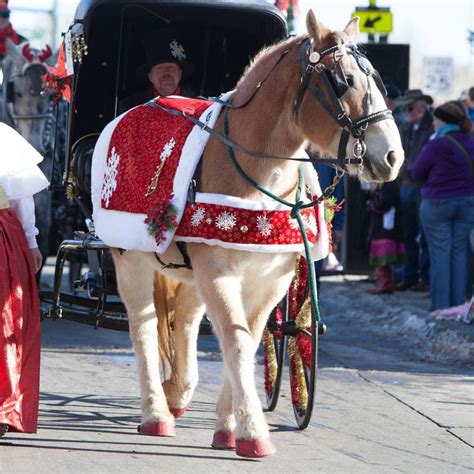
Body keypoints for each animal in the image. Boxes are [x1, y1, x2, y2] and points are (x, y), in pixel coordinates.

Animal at [93, 11, 404, 458]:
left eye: (376, 80)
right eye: (343, 79)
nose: (393, 157)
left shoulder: (270, 280)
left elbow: (249, 338)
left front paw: (227, 426)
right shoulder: (218, 272)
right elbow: (236, 342)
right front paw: (253, 433)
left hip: (189, 274)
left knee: (185, 319)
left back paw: (179, 392)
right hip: (131, 259)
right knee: (144, 325)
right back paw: (156, 413)